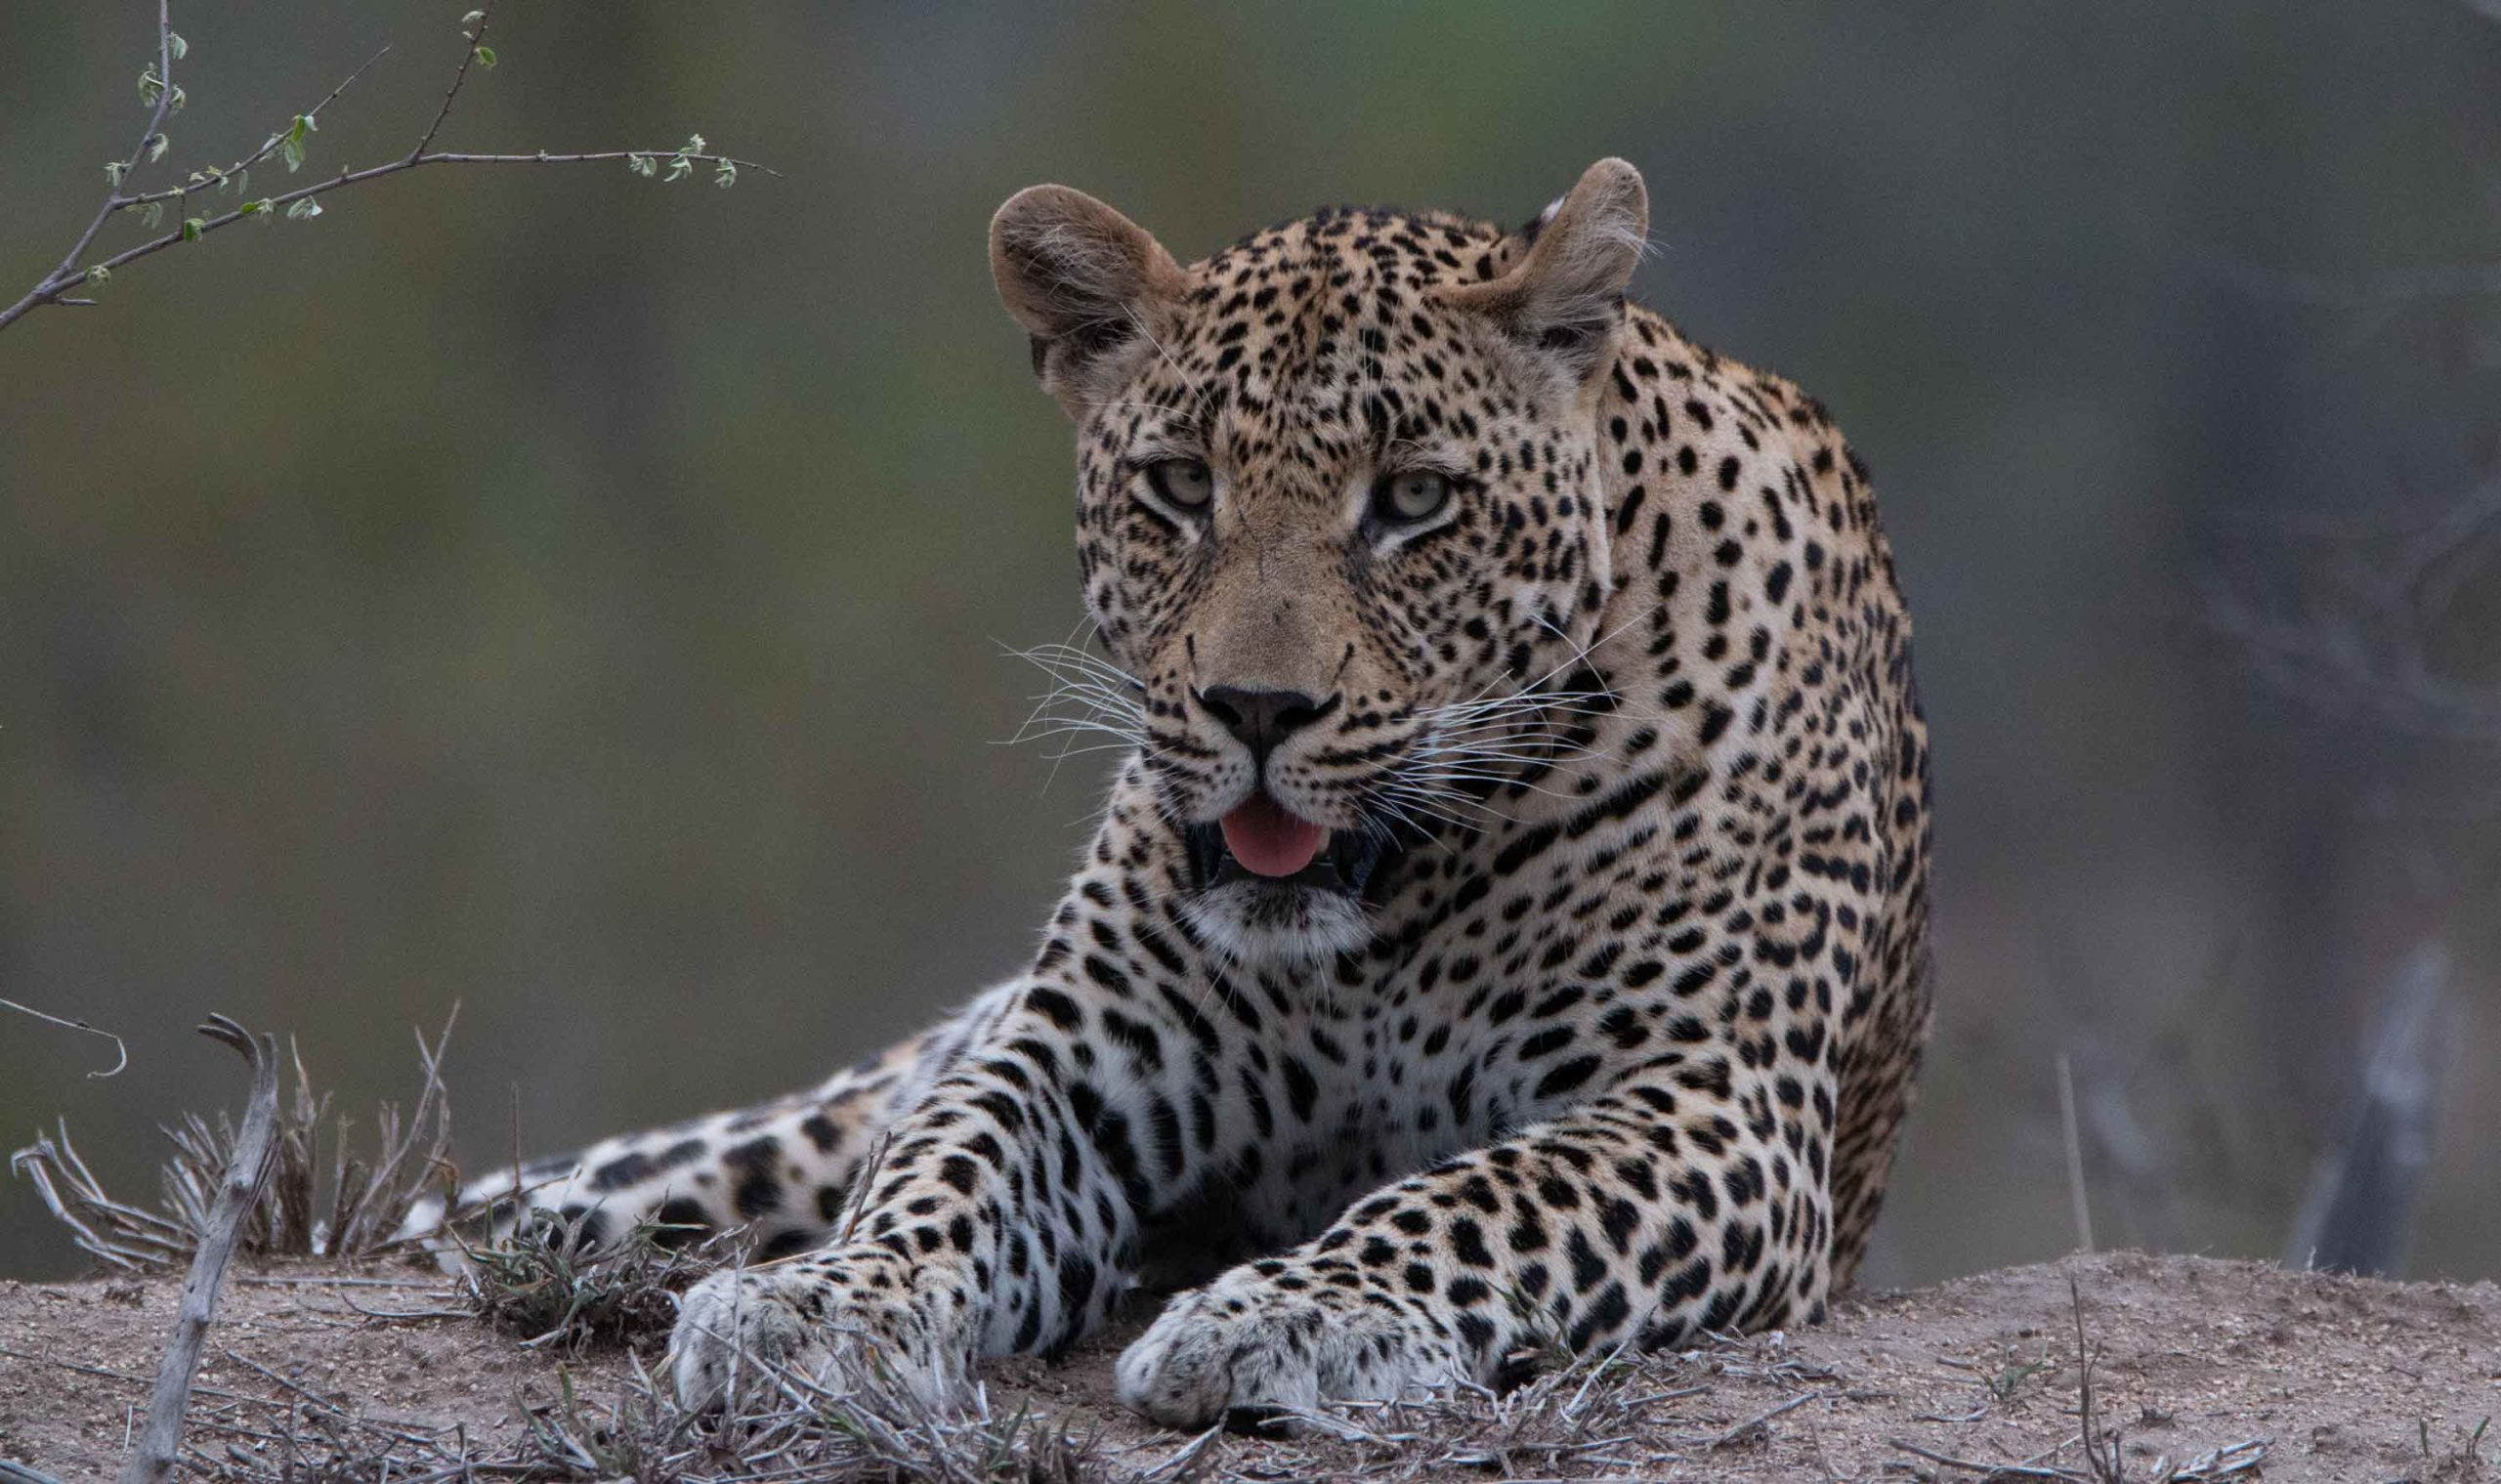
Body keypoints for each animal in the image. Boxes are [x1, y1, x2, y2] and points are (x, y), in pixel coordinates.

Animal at [414, 158, 1930, 1420]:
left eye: (1416, 499)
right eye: (1180, 485)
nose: (1256, 708)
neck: (1377, 929)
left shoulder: (1705, 1104)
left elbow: (1488, 1197)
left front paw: (1297, 1313)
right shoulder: (1074, 1056)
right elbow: (943, 1162)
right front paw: (829, 1302)